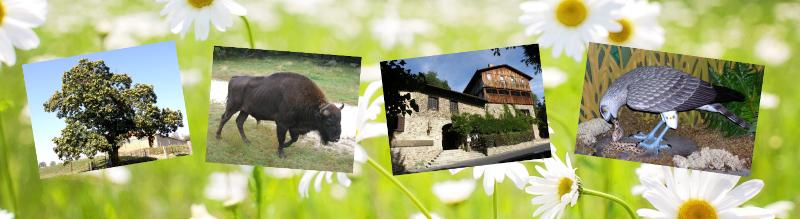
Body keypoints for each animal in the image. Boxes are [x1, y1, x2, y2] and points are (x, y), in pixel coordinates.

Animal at [216, 72, 344, 158]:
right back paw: (218, 137)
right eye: (328, 121)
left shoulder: (294, 127)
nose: (336, 138)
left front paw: (284, 147)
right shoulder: (282, 124)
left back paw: (247, 141)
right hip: (232, 107)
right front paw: (281, 153)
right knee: (224, 118)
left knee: (239, 122)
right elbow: (282, 138)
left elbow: (294, 139)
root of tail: (235, 78)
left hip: (245, 111)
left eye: (340, 120)